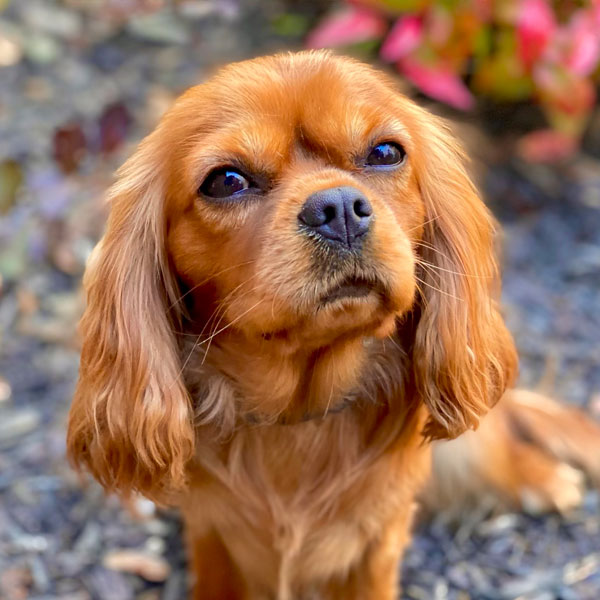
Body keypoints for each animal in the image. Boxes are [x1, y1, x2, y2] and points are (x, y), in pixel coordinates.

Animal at [65, 51, 600, 600]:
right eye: (226, 181)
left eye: (385, 152)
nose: (338, 207)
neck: (301, 412)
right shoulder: (213, 535)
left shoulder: (376, 542)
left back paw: (540, 476)